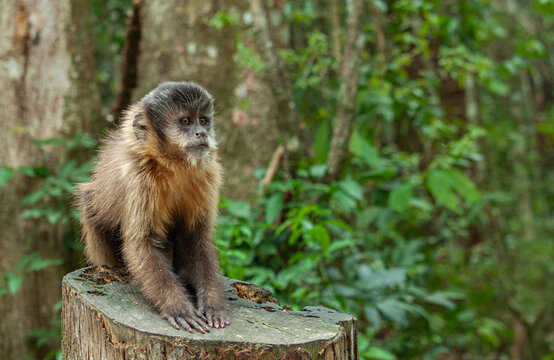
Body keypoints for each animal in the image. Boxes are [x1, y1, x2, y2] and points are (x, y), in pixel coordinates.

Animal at [75, 81, 226, 332]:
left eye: (203, 120)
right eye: (186, 121)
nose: (202, 133)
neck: (172, 165)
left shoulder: (208, 174)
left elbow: (196, 236)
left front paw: (213, 304)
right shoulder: (138, 178)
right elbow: (141, 244)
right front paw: (178, 308)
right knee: (89, 201)